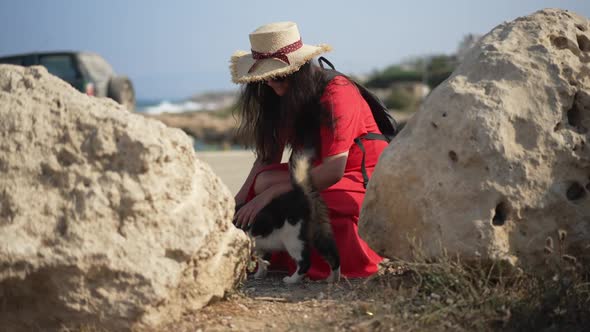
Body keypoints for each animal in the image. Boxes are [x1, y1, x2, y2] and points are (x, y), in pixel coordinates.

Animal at [238, 154, 342, 284]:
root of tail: (302, 195)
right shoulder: (260, 247)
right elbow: (263, 262)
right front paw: (259, 275)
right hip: (320, 231)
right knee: (333, 255)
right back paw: (333, 279)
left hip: (294, 240)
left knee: (305, 262)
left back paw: (291, 280)